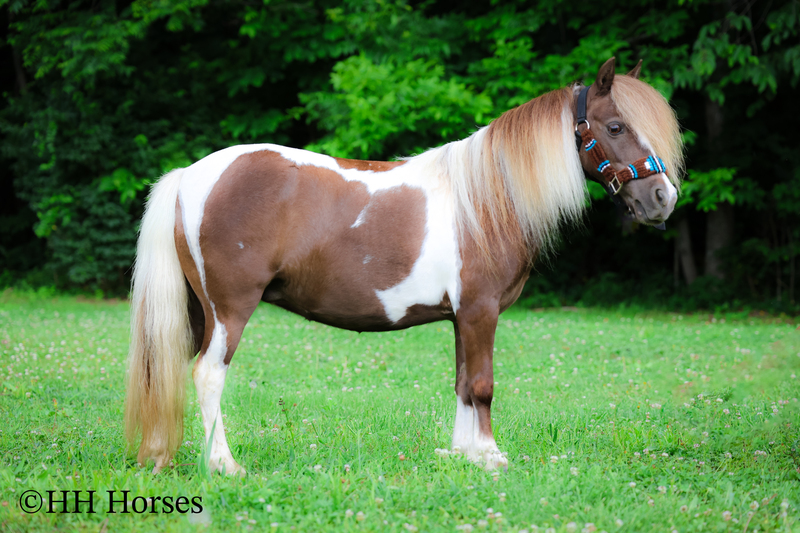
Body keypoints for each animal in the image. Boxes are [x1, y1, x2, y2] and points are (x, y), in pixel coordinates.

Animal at [124, 57, 684, 474]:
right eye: (615, 126)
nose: (663, 198)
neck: (486, 200)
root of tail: (191, 175)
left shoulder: (462, 317)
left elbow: (462, 383)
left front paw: (462, 455)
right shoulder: (480, 311)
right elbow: (483, 385)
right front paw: (490, 457)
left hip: (200, 312)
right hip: (229, 310)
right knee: (208, 376)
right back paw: (225, 465)